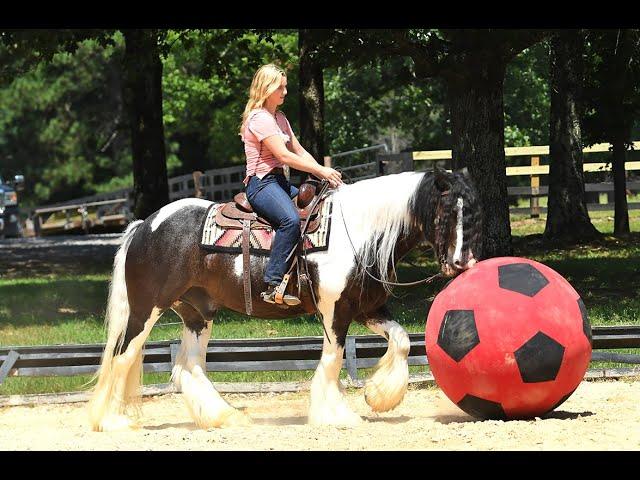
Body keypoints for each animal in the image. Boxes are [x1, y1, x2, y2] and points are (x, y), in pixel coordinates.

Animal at [87, 169, 482, 432]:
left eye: (475, 213)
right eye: (447, 212)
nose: (463, 262)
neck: (357, 231)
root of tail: (144, 225)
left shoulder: (366, 308)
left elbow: (401, 341)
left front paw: (379, 396)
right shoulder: (334, 311)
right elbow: (333, 360)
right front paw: (335, 415)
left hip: (197, 313)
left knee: (188, 366)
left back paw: (223, 416)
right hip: (146, 309)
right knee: (122, 357)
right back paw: (113, 422)